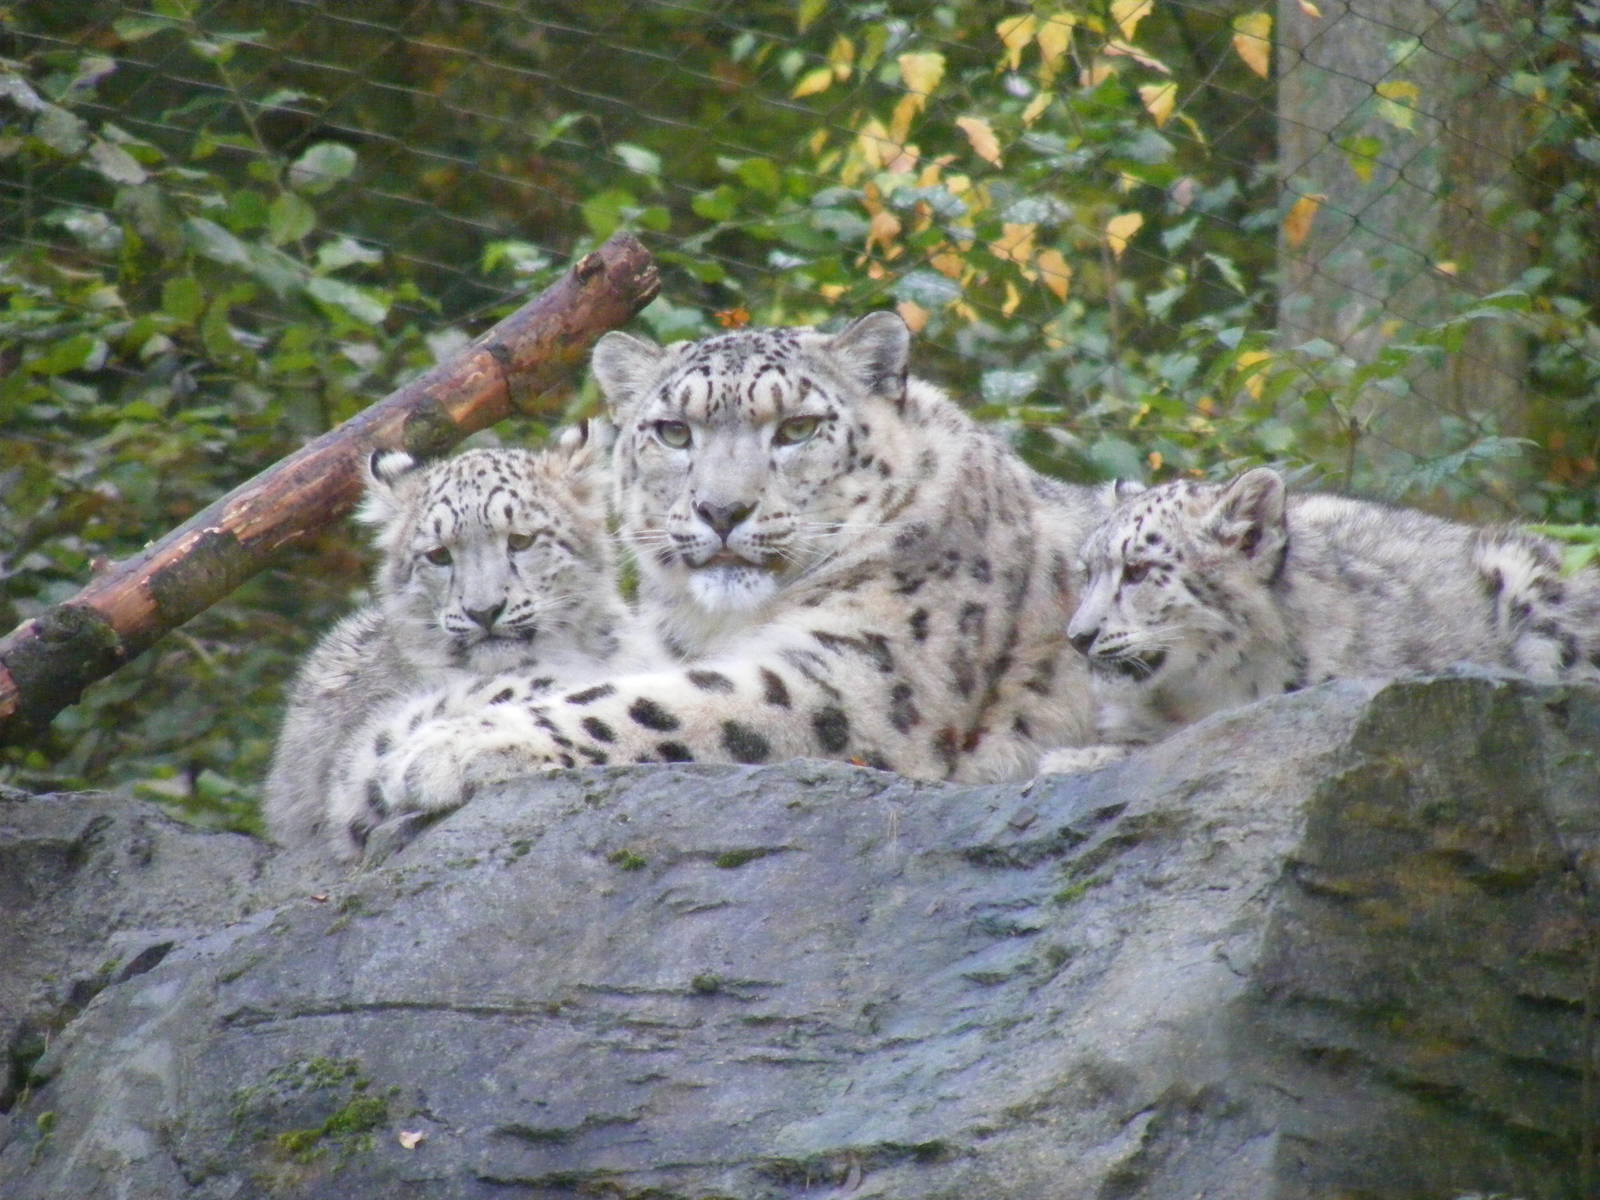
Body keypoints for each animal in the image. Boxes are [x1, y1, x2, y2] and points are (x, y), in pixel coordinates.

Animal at [325, 311, 1112, 857]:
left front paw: (442, 749)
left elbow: (645, 704)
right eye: (674, 432)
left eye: (797, 428)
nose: (722, 510)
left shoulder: (858, 681)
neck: (717, 624)